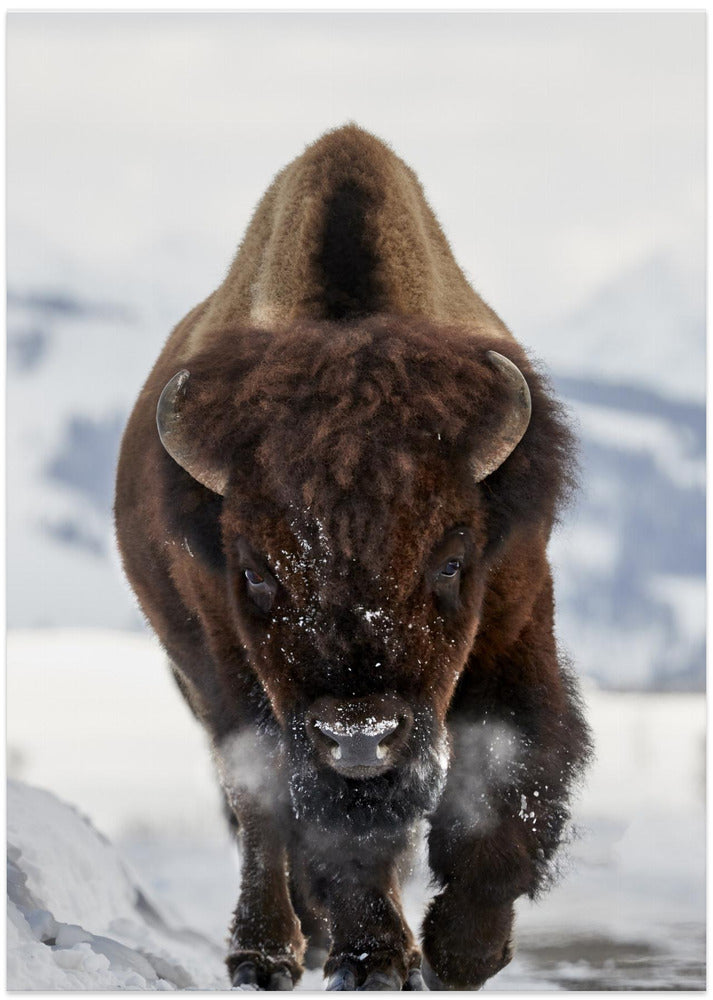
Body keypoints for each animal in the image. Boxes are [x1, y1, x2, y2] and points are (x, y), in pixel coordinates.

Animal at [115, 124, 591, 991]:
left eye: (450, 560)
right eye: (255, 571)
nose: (360, 735)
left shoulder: (513, 618)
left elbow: (510, 770)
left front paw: (462, 952)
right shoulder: (234, 664)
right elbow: (312, 819)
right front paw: (374, 959)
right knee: (261, 813)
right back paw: (269, 952)